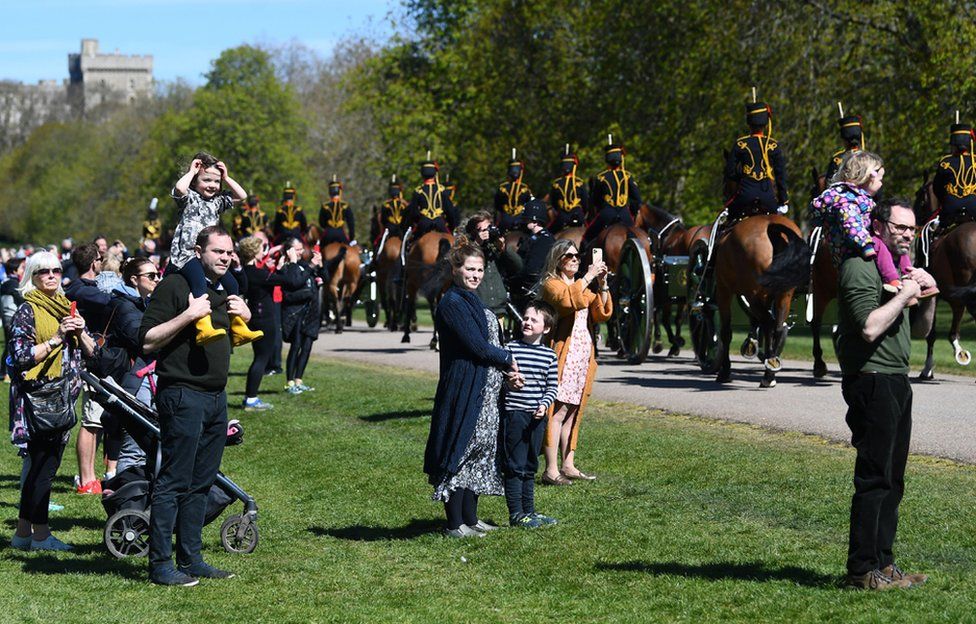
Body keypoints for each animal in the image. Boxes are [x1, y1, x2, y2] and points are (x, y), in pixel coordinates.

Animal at [708, 217, 808, 388]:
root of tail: (771, 224)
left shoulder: (723, 291)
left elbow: (726, 333)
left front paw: (725, 371)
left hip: (751, 294)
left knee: (768, 322)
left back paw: (769, 370)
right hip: (784, 294)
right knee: (776, 327)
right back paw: (770, 370)